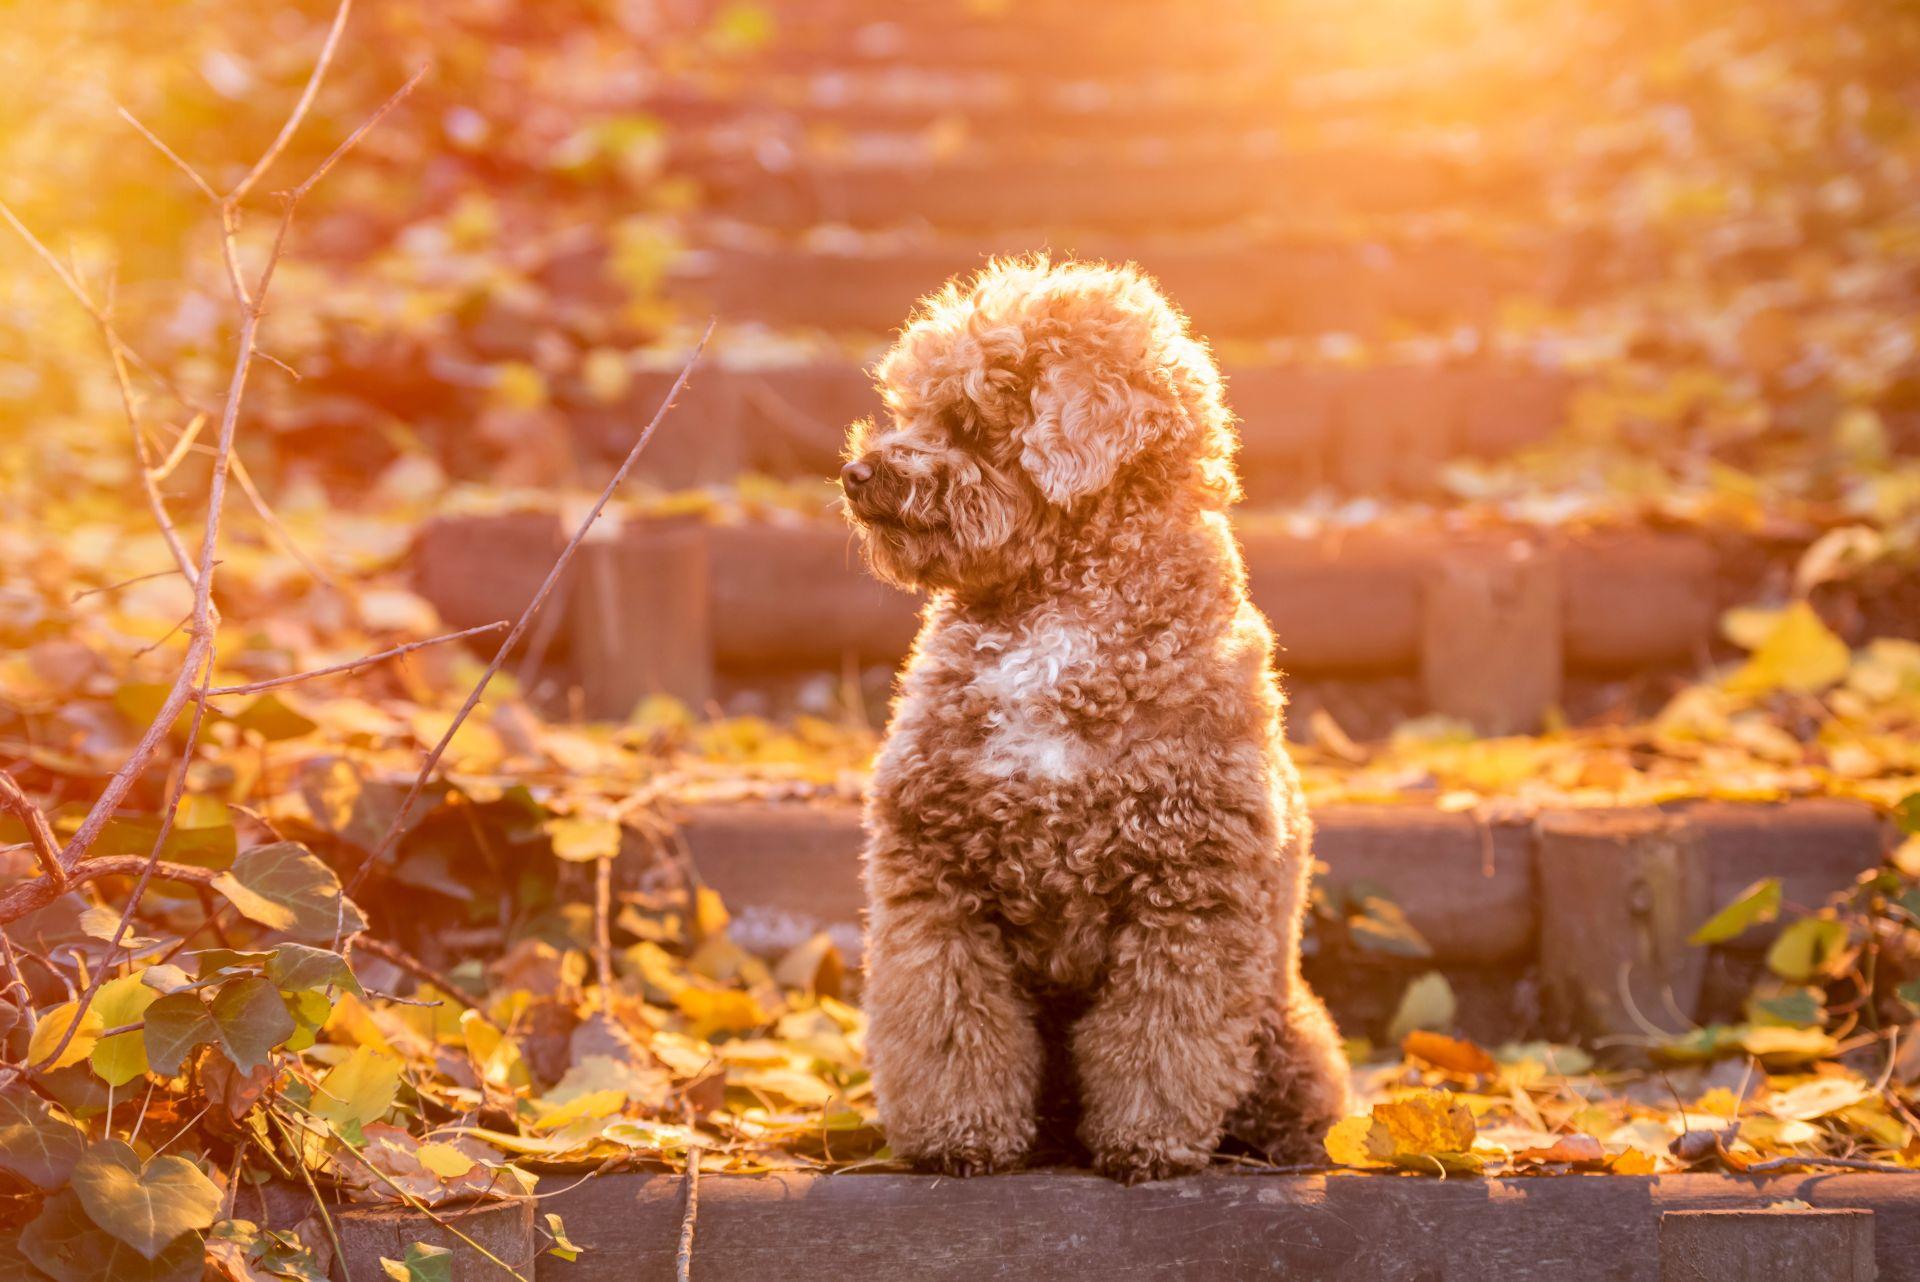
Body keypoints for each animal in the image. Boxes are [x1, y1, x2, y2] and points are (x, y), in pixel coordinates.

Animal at [840, 257, 1351, 1182]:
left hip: (1287, 1029)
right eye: (909, 412)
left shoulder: (1188, 895)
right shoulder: (933, 881)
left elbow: (1160, 1040)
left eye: (969, 422)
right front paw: (959, 1137)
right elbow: (948, 1022)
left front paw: (1147, 1145)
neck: (1058, 612)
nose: (858, 474)